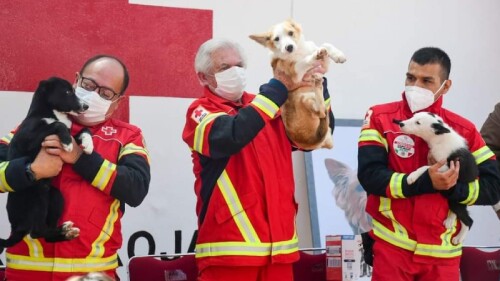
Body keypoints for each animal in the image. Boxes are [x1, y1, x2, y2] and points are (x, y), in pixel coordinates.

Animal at [0, 76, 93, 245]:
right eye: (68, 92)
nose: (86, 106)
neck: (52, 113)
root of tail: (16, 229)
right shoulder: (26, 140)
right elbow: (58, 124)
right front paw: (67, 143)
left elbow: (84, 130)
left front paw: (89, 145)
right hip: (38, 198)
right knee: (36, 232)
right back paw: (63, 230)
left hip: (56, 196)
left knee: (46, 234)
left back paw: (66, 232)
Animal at [249, 18, 344, 150]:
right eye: (276, 39)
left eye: (290, 33)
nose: (289, 47)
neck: (299, 51)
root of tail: (309, 142)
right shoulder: (296, 72)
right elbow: (305, 61)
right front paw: (315, 55)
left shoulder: (323, 65)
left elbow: (325, 45)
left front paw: (338, 55)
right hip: (305, 98)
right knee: (320, 111)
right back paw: (318, 85)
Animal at [392, 110, 474, 244]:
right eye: (413, 117)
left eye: (418, 122)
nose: (401, 123)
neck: (439, 138)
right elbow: (427, 166)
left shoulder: (447, 167)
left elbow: (426, 167)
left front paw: (412, 176)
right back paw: (450, 219)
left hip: (457, 199)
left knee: (469, 221)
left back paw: (459, 237)